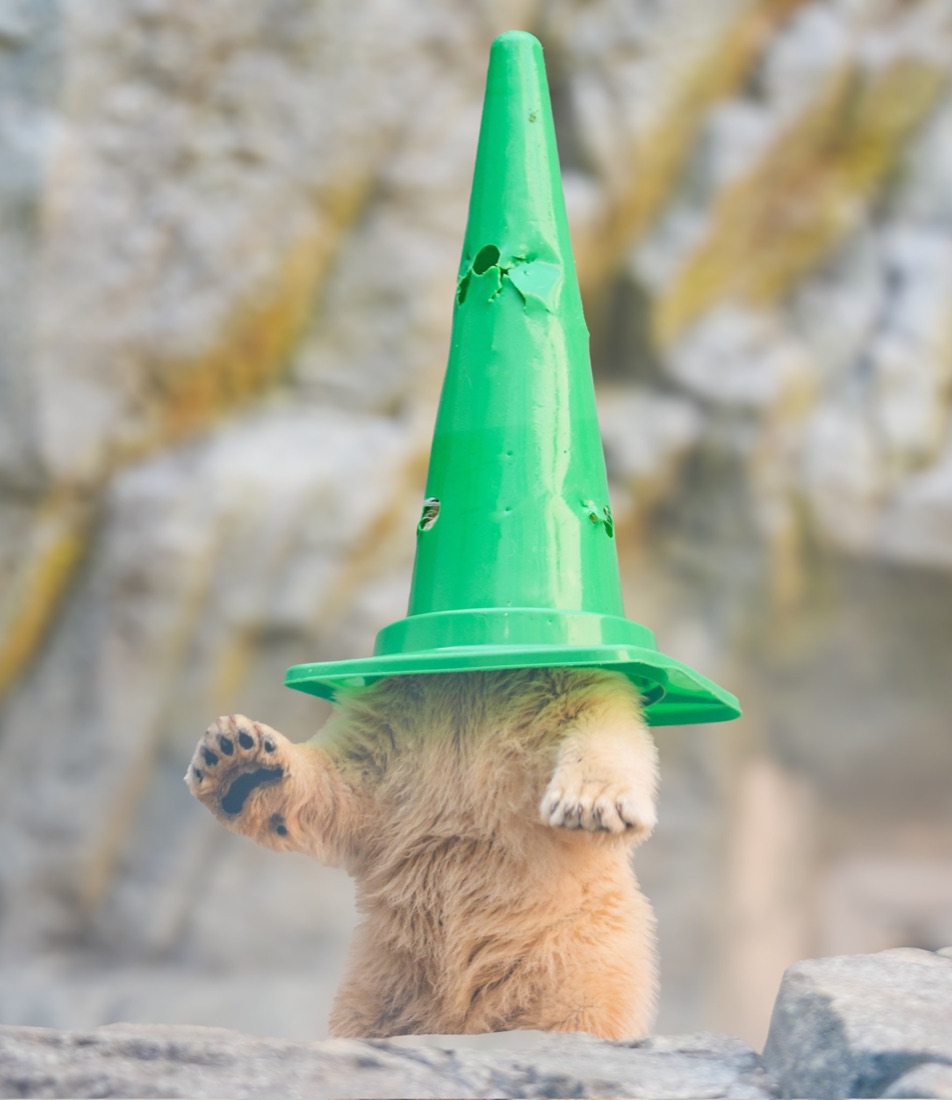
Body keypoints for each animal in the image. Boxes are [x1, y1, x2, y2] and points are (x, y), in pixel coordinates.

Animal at [185, 666, 659, 1040]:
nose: (233, 756)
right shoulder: (397, 705)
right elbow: (349, 780)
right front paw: (237, 758)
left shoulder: (562, 684)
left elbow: (601, 724)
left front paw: (591, 804)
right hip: (381, 980)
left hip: (569, 961)